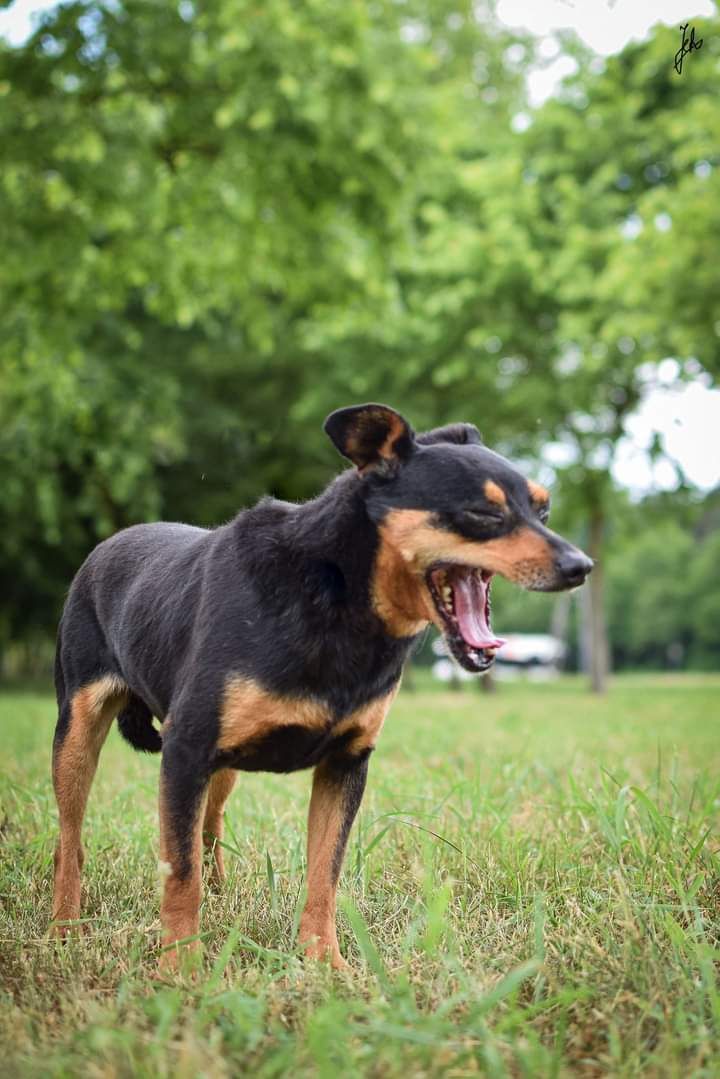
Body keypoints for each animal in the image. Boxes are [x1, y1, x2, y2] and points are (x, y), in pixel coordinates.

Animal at [49, 403, 591, 971]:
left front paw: (326, 964)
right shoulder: (186, 748)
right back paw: (65, 927)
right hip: (80, 730)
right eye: (483, 514)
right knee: (72, 838)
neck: (338, 596)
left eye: (543, 512)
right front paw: (180, 970)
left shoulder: (344, 762)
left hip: (221, 767)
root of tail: (108, 544)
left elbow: (323, 875)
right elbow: (179, 874)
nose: (581, 566)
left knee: (209, 828)